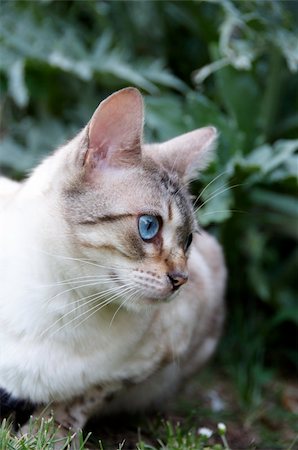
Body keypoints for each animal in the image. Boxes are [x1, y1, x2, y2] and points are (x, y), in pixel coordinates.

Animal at [0, 87, 226, 442]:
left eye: (189, 240)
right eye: (148, 226)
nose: (181, 279)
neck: (58, 298)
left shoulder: (156, 353)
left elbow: (78, 399)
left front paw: (46, 436)